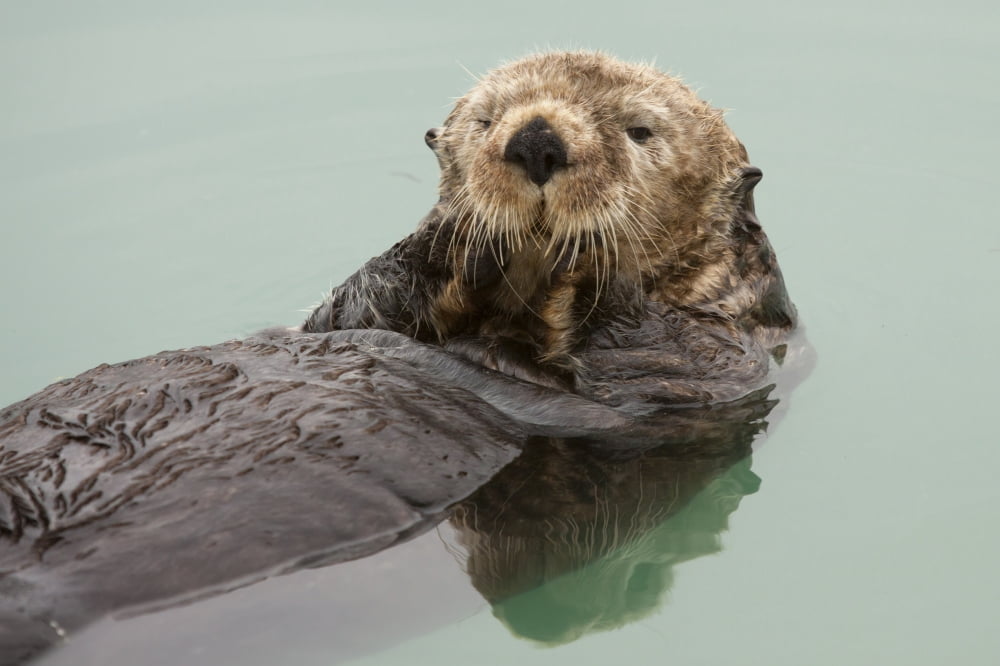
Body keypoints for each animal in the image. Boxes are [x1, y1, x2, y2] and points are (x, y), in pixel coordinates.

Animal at [303, 51, 796, 407]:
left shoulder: (724, 356)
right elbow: (340, 315)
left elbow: (659, 360)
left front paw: (582, 263)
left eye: (640, 130)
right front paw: (449, 236)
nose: (536, 138)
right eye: (485, 121)